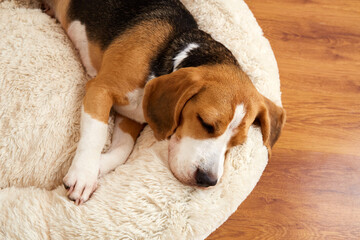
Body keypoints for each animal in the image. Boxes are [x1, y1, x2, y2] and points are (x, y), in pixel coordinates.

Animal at [42, 0, 286, 204]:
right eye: (205, 123)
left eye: (238, 143)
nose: (207, 180)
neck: (172, 55)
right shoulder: (100, 89)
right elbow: (96, 134)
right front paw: (84, 174)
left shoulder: (131, 116)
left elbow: (123, 149)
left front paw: (97, 168)